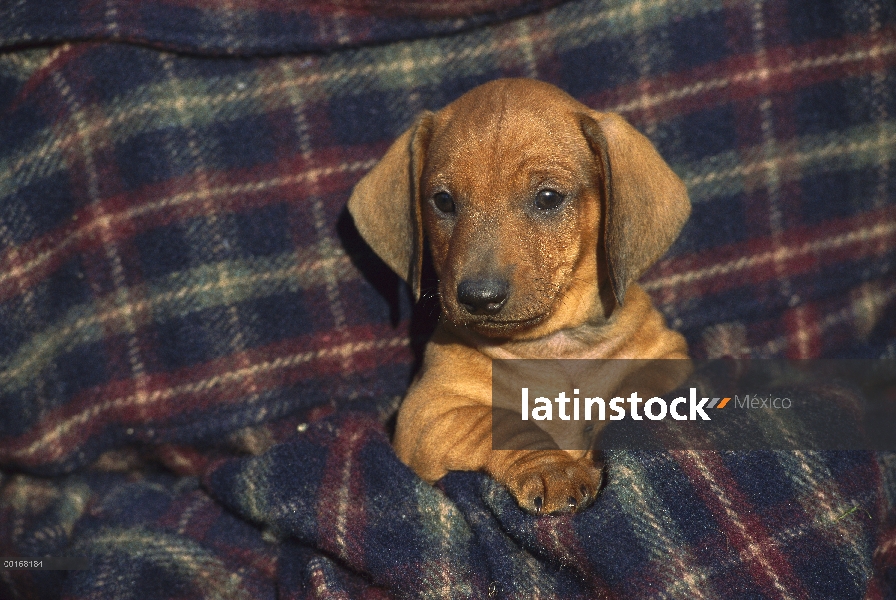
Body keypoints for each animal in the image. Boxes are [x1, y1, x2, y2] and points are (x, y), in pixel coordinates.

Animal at [346, 77, 688, 512]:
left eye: (548, 198)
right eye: (443, 201)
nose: (479, 298)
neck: (552, 347)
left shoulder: (669, 358)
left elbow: (635, 395)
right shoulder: (427, 412)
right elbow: (504, 421)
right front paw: (554, 468)